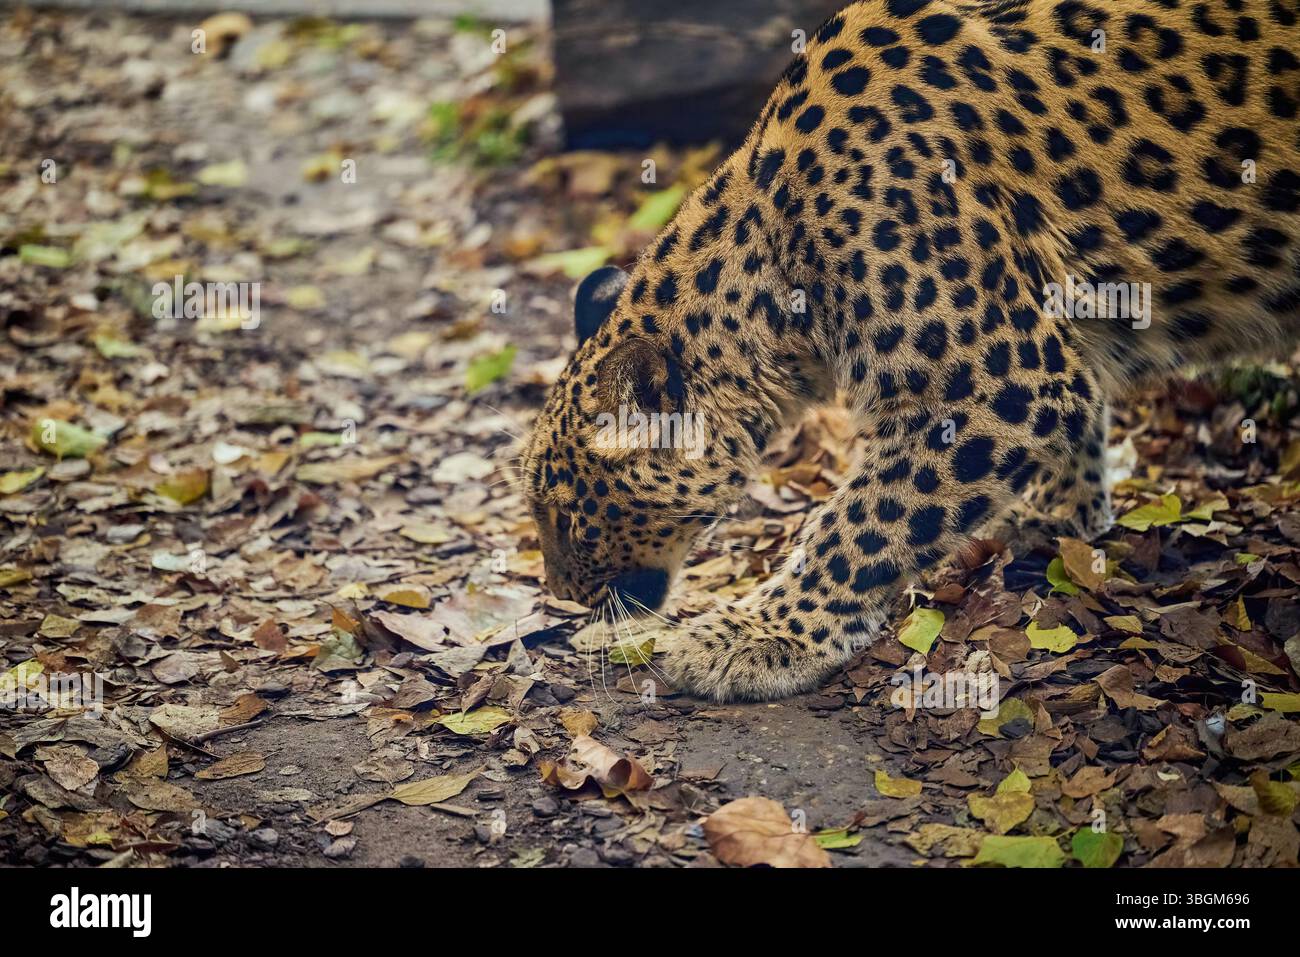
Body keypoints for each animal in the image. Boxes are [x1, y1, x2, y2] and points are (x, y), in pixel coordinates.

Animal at [521, 0, 1300, 702]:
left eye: (568, 516)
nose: (559, 594)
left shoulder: (1000, 381)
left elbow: (863, 522)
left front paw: (755, 638)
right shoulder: (1048, 355)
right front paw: (1062, 518)